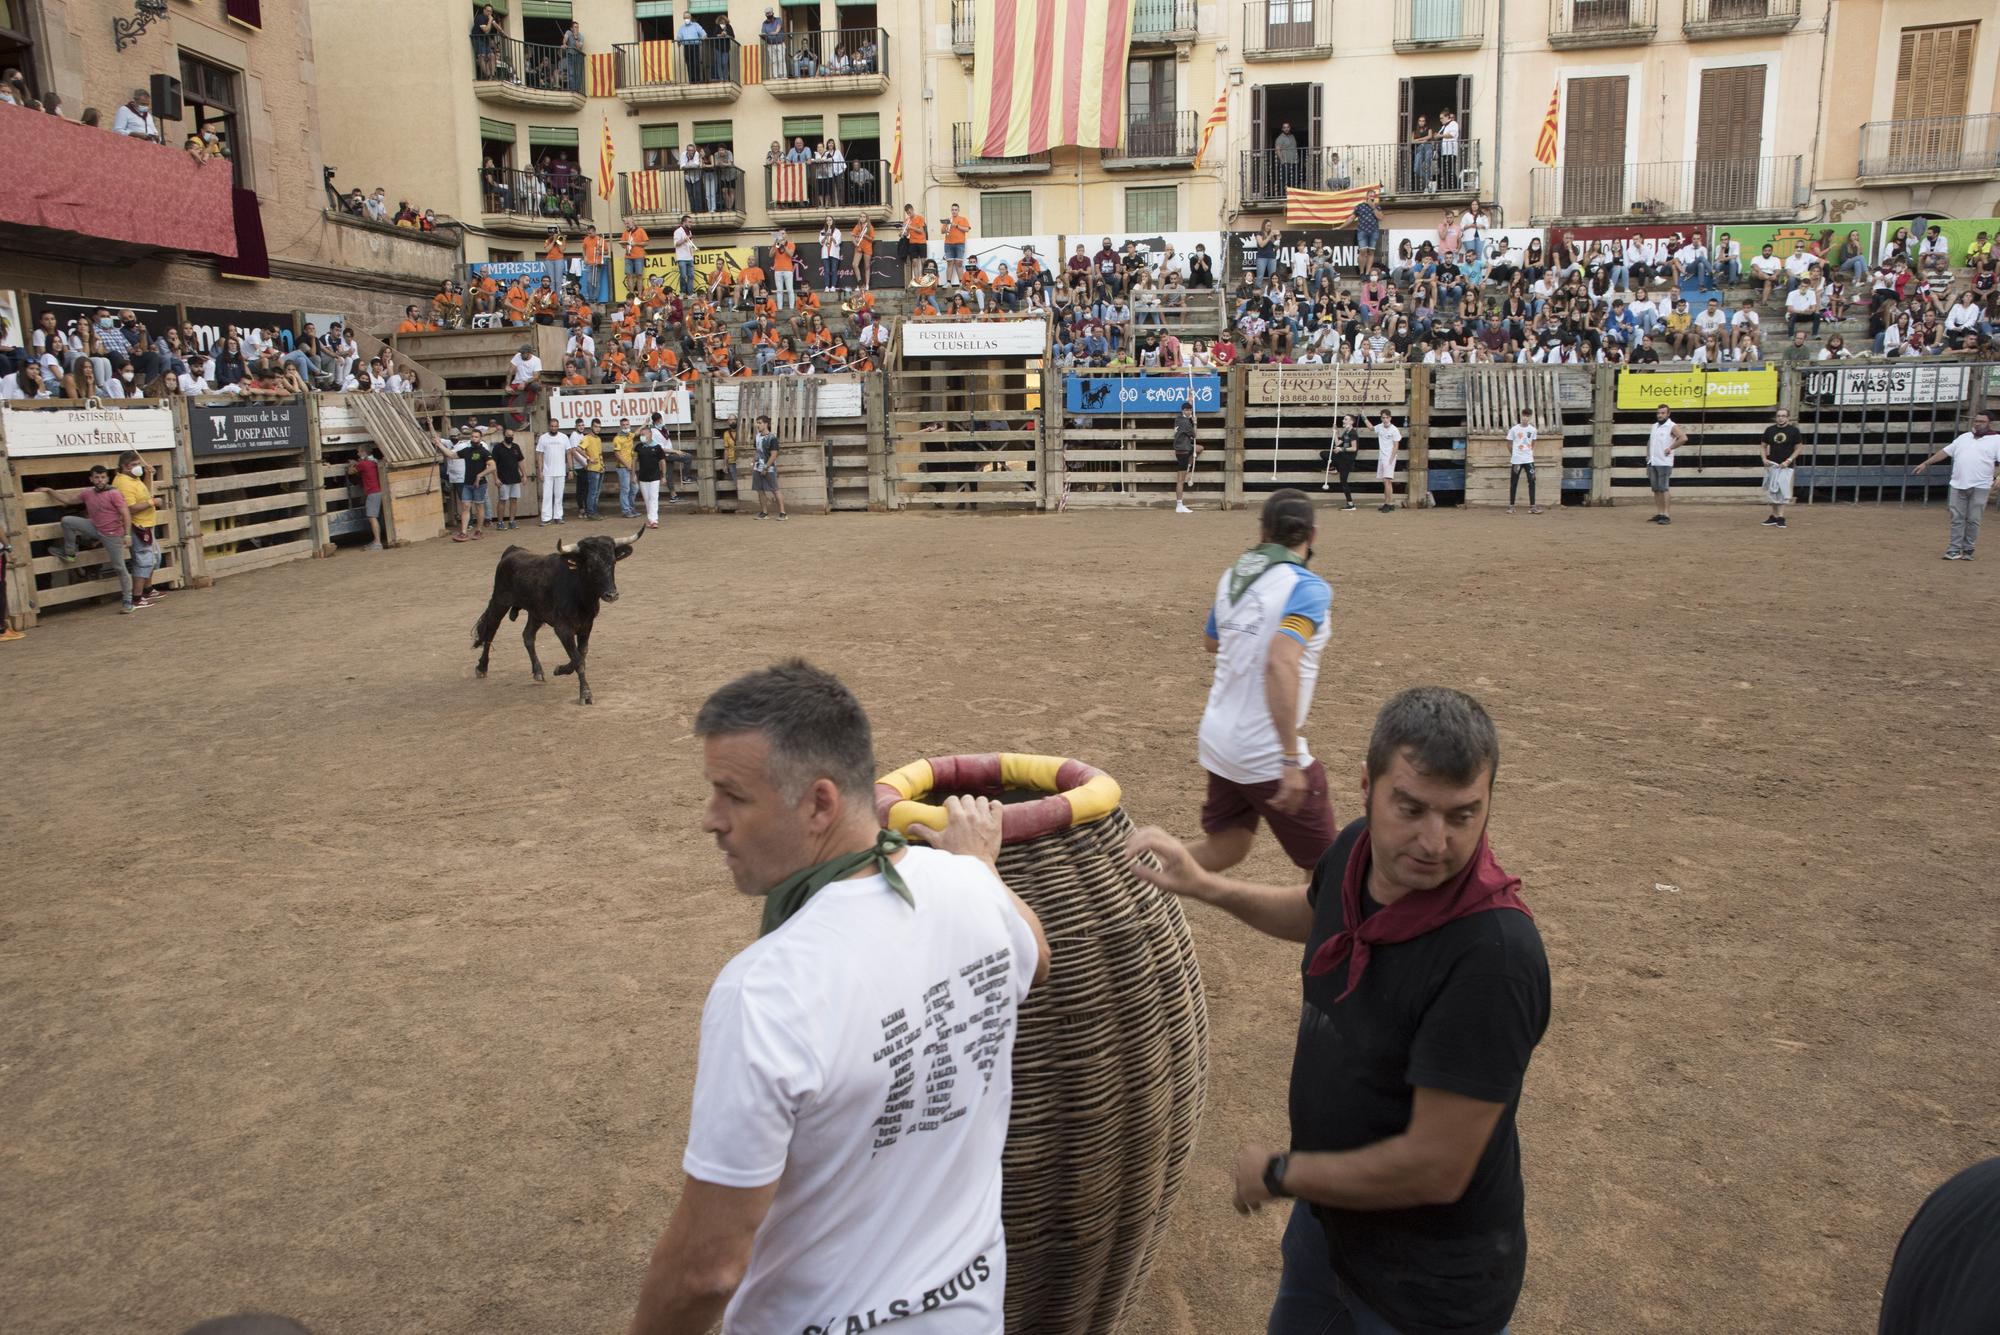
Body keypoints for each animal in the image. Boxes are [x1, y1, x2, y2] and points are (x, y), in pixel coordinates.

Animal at [468, 527, 640, 703]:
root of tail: (512, 550)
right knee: (490, 631)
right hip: (500, 602)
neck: (579, 593)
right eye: (591, 565)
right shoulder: (563, 629)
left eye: (613, 562)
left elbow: (581, 654)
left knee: (528, 635)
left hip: (537, 613)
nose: (611, 595)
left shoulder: (586, 626)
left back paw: (538, 671)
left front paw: (559, 669)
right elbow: (578, 659)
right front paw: (585, 694)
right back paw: (482, 668)